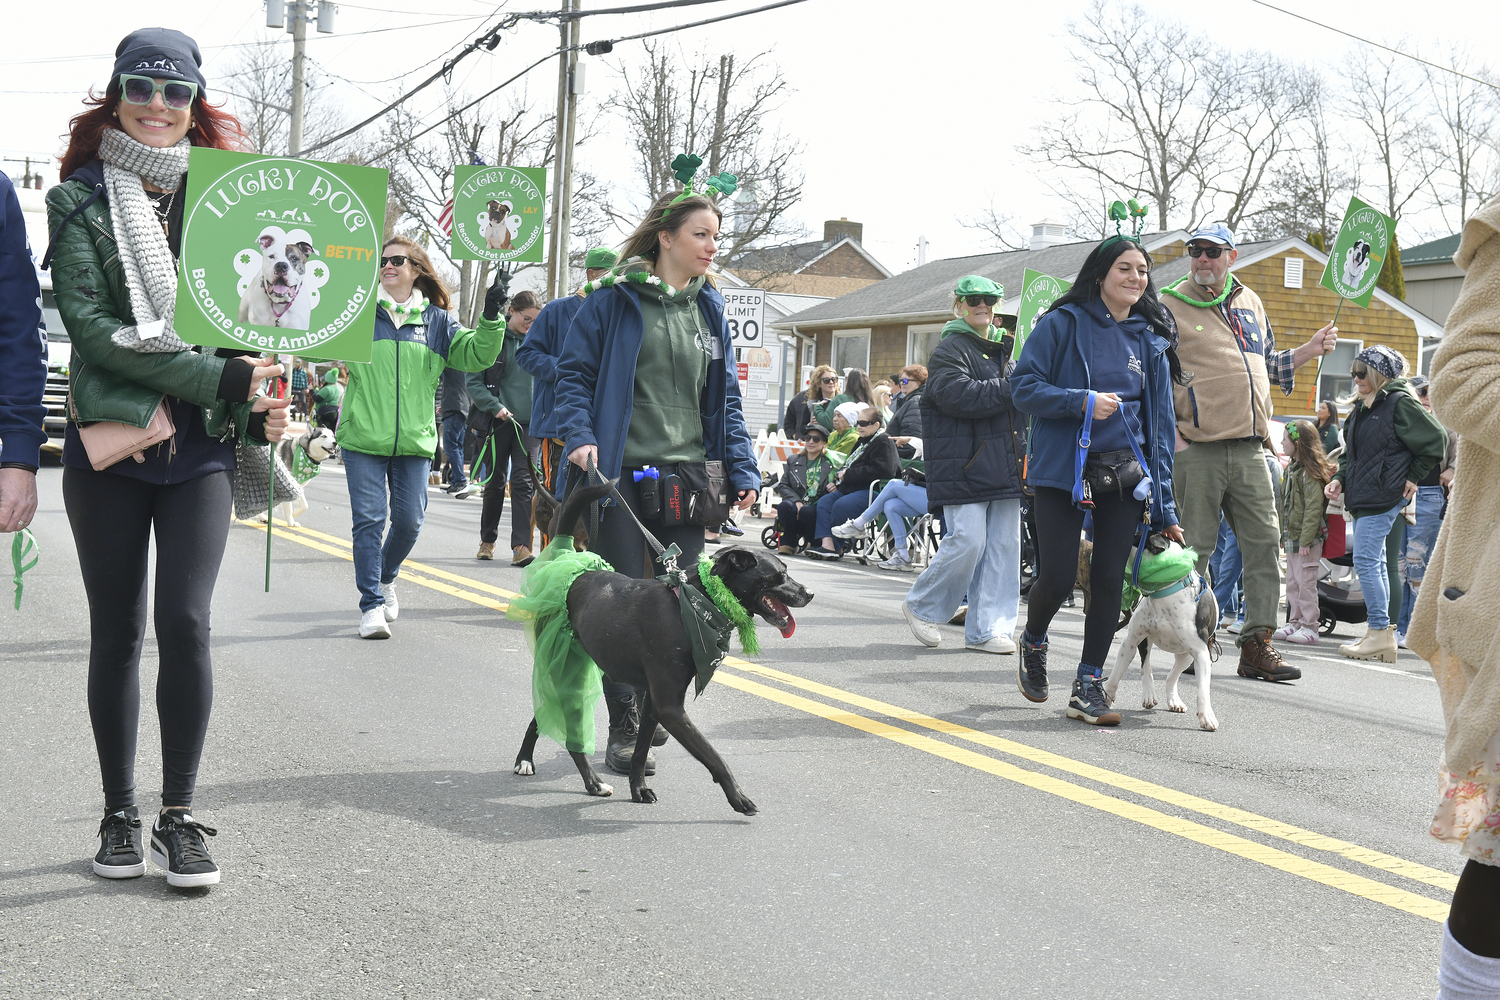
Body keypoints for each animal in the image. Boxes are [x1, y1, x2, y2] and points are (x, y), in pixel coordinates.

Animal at [519, 479, 822, 815]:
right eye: (779, 576)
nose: (810, 593)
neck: (696, 603)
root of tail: (565, 558)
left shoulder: (654, 703)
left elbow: (640, 753)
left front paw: (638, 789)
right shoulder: (670, 707)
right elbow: (713, 755)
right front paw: (738, 797)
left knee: (542, 715)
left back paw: (545, 767)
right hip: (564, 666)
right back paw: (579, 778)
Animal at [1104, 530, 1218, 734]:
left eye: (1134, 536)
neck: (1165, 590)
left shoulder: (1201, 653)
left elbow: (1203, 691)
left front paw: (1207, 716)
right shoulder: (1131, 640)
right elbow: (1116, 674)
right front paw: (1106, 696)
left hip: (1186, 656)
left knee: (1171, 676)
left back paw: (1174, 701)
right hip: (1145, 642)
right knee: (1146, 667)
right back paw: (1149, 695)